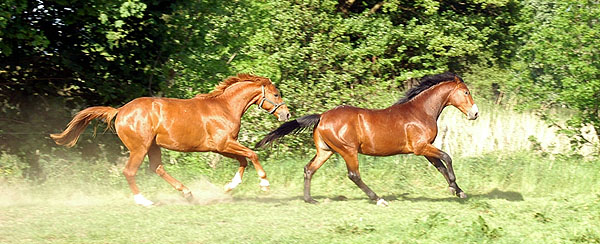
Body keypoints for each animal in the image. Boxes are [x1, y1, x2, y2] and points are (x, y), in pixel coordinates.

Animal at [51, 73, 290, 206]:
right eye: (276, 94)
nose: (287, 114)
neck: (224, 107)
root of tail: (120, 111)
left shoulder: (221, 147)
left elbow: (243, 160)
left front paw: (229, 187)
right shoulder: (224, 144)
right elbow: (252, 154)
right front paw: (265, 184)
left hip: (153, 147)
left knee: (157, 168)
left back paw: (187, 193)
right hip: (139, 148)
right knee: (130, 171)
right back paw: (144, 201)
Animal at [255, 72, 480, 206]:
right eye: (466, 92)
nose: (475, 114)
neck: (420, 111)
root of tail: (322, 116)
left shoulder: (425, 148)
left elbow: (440, 166)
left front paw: (458, 191)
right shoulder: (421, 147)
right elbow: (447, 158)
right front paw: (454, 186)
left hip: (325, 151)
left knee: (309, 169)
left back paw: (310, 199)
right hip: (348, 150)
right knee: (353, 175)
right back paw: (378, 199)